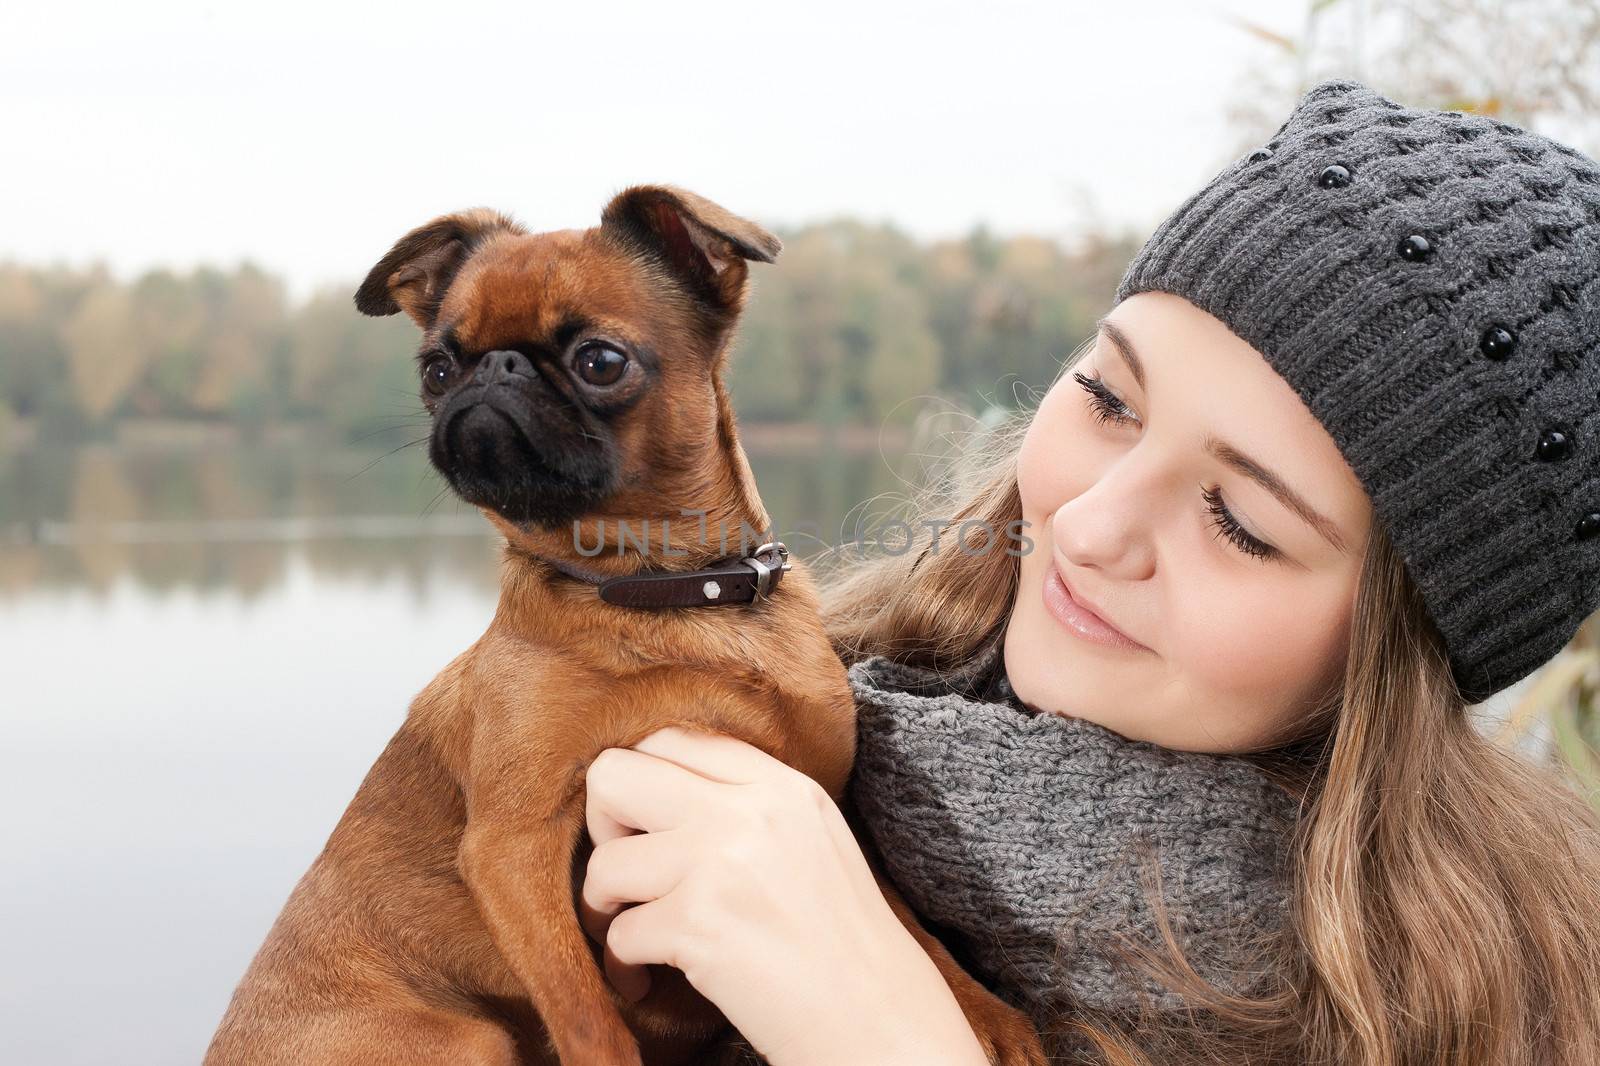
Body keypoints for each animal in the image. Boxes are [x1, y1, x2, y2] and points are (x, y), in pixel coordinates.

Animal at [203, 186, 1049, 1056]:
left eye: (599, 361)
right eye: (436, 370)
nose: (494, 372)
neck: (668, 595)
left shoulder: (824, 799)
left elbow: (908, 928)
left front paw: (988, 1017)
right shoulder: (513, 851)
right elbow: (587, 1018)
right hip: (466, 1039)